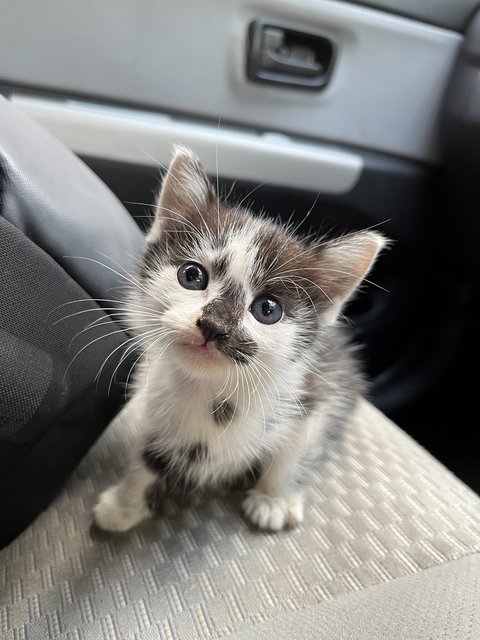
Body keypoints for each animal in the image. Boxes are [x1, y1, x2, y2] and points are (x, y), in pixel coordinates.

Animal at [94, 148, 386, 532]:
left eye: (267, 309)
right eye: (191, 276)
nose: (214, 326)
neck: (213, 390)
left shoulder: (317, 391)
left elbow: (294, 450)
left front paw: (274, 499)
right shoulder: (153, 399)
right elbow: (148, 455)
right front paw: (125, 503)